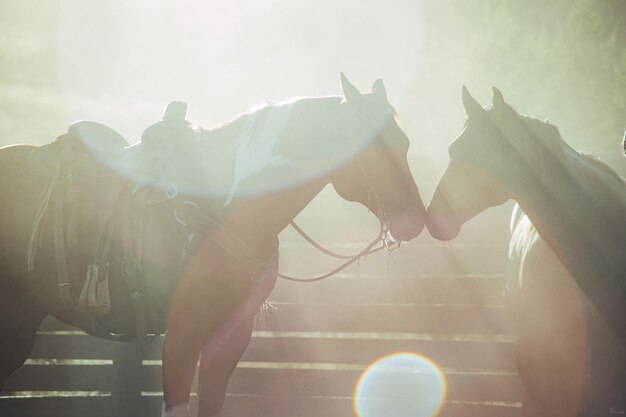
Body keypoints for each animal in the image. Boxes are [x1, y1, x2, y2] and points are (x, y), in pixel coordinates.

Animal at [0, 73, 424, 414]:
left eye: (404, 143)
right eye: (372, 146)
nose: (415, 220)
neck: (225, 206)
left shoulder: (232, 335)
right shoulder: (182, 336)